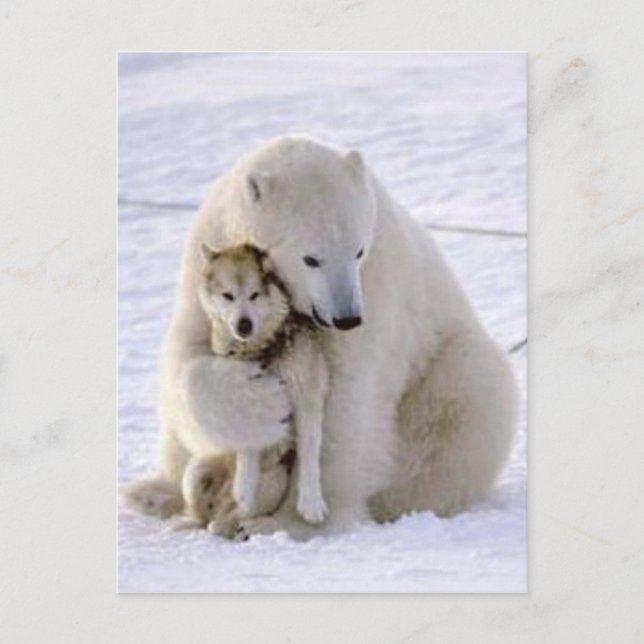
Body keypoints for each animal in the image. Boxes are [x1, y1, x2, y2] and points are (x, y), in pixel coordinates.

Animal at [121, 134, 517, 540]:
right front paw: (262, 403)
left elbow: (344, 401)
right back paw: (157, 492)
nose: (346, 317)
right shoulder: (207, 259)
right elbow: (187, 356)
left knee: (465, 392)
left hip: (446, 372)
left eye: (358, 250)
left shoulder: (376, 288)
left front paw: (296, 522)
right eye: (310, 258)